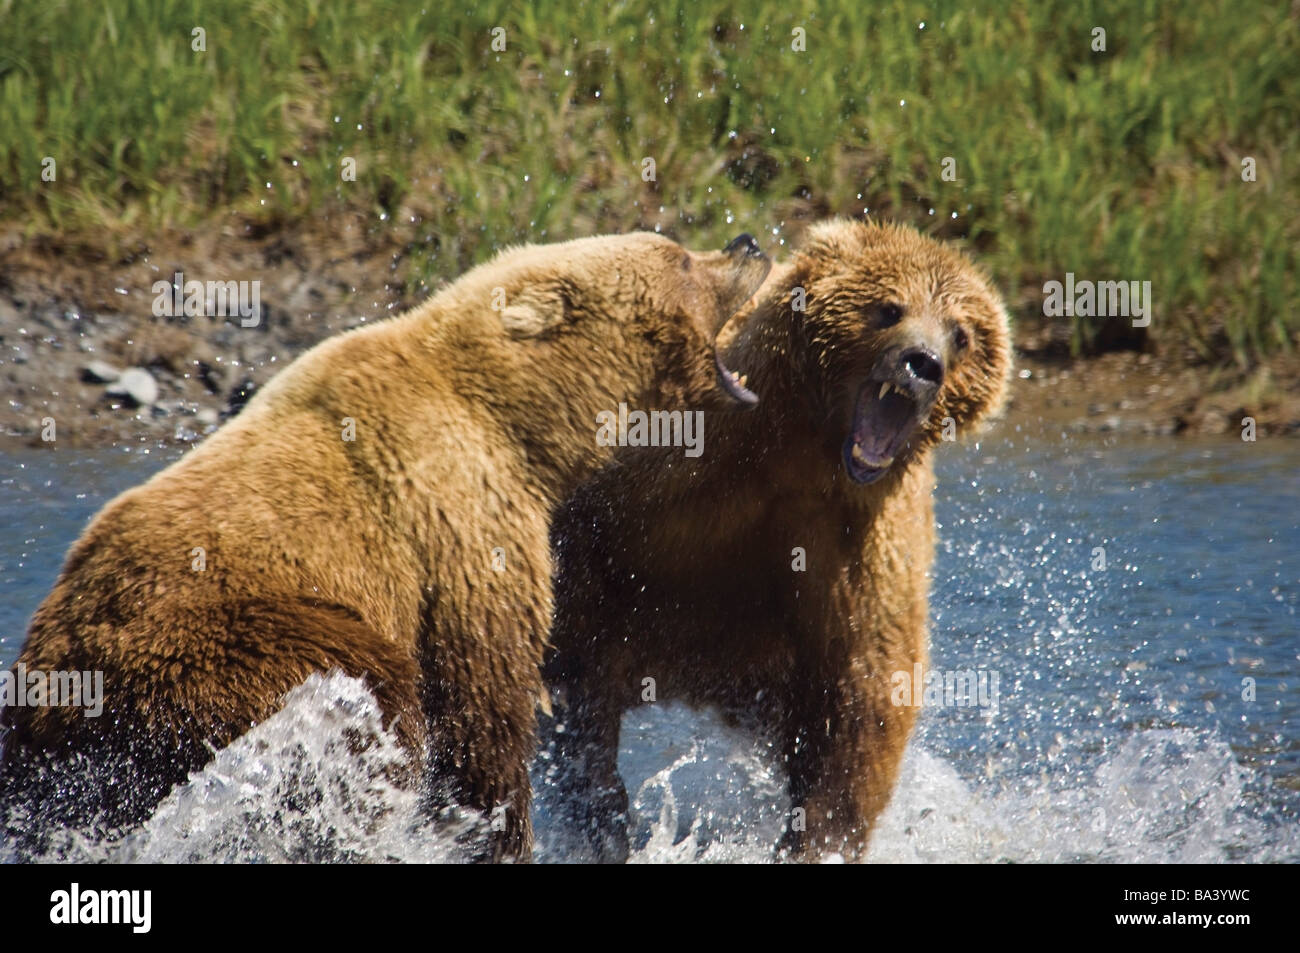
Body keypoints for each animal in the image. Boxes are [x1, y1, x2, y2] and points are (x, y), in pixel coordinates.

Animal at [0, 228, 769, 852]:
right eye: (678, 255)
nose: (749, 242)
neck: (521, 424)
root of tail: (54, 678)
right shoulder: (458, 519)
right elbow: (483, 700)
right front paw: (496, 826)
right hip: (211, 642)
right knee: (373, 689)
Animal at [543, 221, 1008, 863]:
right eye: (889, 308)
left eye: (961, 333)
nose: (923, 363)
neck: (805, 449)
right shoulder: (667, 473)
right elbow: (578, 636)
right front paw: (602, 810)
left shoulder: (862, 538)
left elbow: (866, 692)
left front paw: (817, 835)